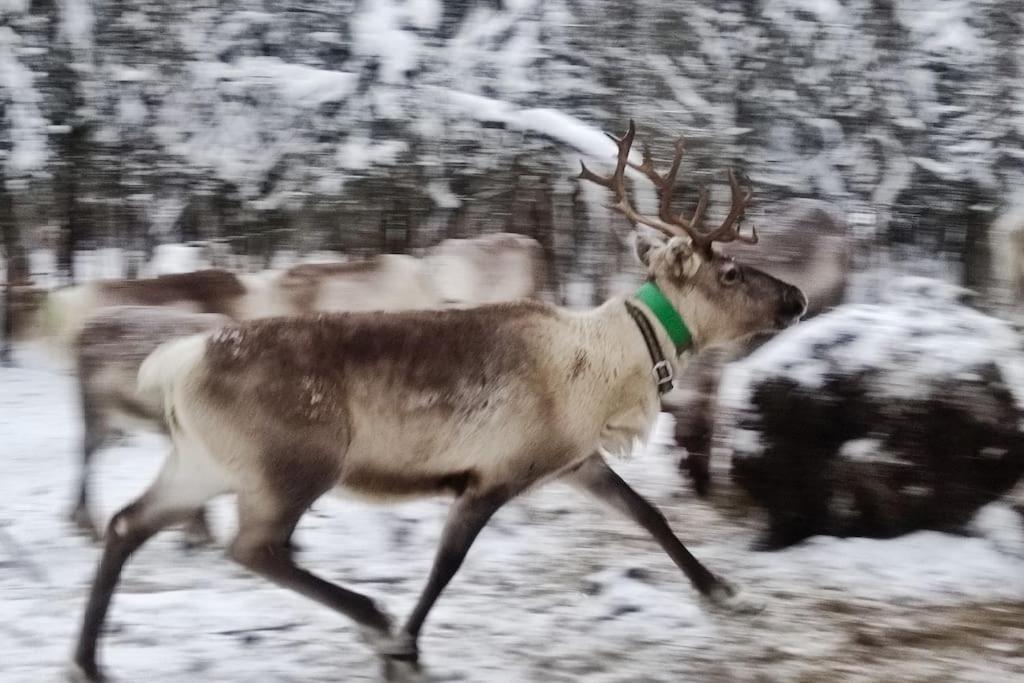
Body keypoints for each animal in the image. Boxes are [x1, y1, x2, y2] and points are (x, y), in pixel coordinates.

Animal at [70, 121, 807, 682]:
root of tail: (180, 360)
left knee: (128, 524)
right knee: (253, 547)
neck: (606, 365)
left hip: (199, 462)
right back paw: (377, 620)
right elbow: (446, 564)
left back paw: (87, 661)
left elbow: (650, 514)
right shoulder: (492, 475)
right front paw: (406, 649)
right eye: (730, 273)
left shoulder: (575, 460)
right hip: (293, 465)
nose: (796, 297)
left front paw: (725, 592)